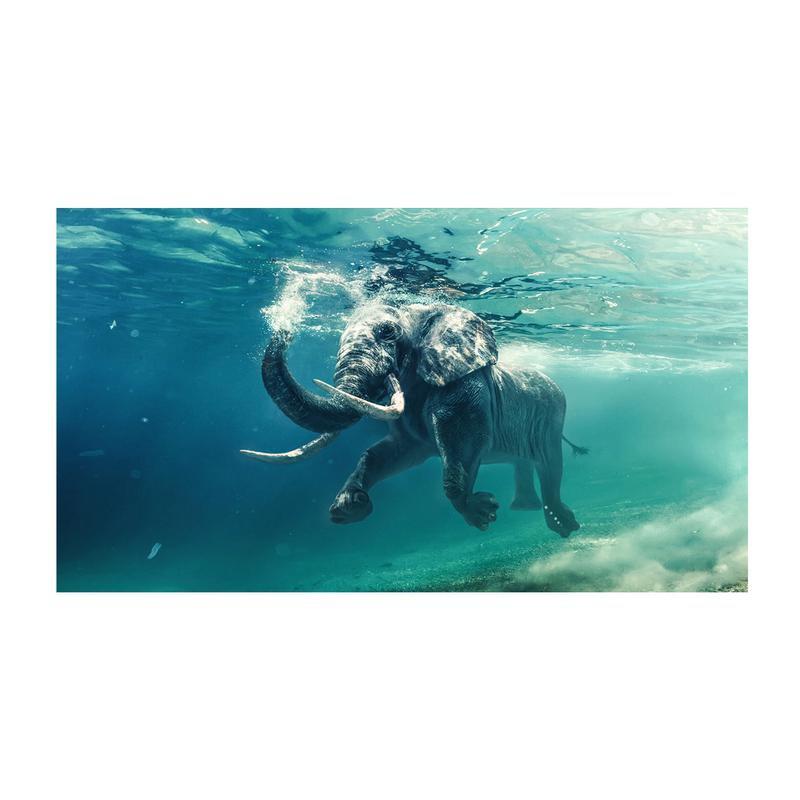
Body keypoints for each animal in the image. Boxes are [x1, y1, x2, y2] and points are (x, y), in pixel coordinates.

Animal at [241, 302, 586, 537]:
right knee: (526, 462)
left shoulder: (466, 388)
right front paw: (348, 508)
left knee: (551, 464)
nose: (285, 329)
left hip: (554, 414)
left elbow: (462, 442)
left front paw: (483, 513)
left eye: (387, 332)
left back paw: (564, 526)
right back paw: (526, 509)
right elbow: (389, 453)